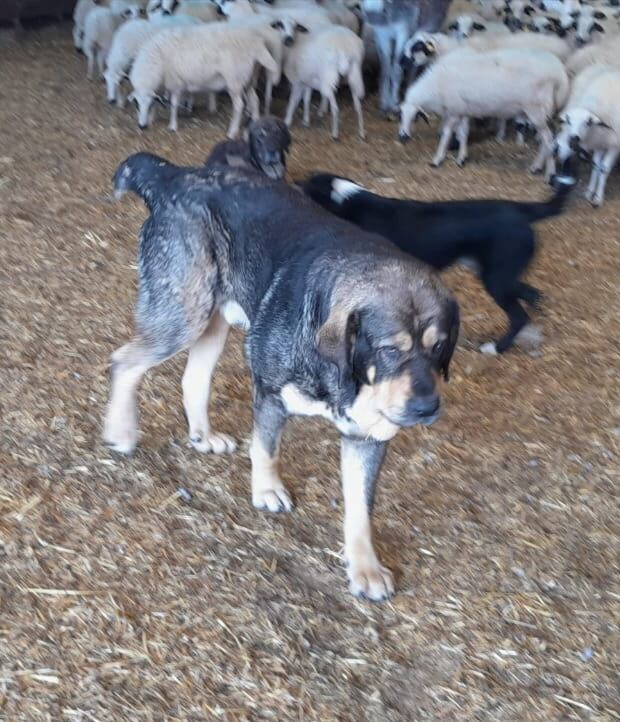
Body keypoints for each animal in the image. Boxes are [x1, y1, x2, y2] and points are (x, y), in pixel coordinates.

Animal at [130, 23, 278, 136]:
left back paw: (232, 132)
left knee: (239, 105)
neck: (155, 62)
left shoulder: (176, 83)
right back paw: (256, 125)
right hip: (248, 80)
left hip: (235, 80)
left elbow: (173, 105)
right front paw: (152, 119)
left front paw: (172, 126)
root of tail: (257, 44)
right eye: (136, 104)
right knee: (255, 100)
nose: (142, 126)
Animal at [302, 174, 572, 354]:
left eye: (305, 186)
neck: (351, 203)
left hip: (497, 279)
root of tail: (519, 211)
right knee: (532, 296)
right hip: (496, 275)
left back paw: (496, 347)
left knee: (518, 316)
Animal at [400, 47, 568, 176]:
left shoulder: (454, 111)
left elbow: (447, 134)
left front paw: (437, 160)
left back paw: (549, 173)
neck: (436, 85)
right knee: (547, 140)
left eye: (414, 118)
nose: (402, 137)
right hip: (544, 113)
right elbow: (463, 134)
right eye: (400, 116)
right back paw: (537, 167)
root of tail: (560, 73)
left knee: (547, 139)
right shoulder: (462, 110)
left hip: (536, 110)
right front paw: (461, 159)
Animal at [556, 64, 620, 205]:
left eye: (587, 122)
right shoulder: (600, 142)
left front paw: (598, 198)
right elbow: (596, 165)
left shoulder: (614, 145)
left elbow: (604, 168)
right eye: (568, 121)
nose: (574, 137)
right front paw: (590, 191)